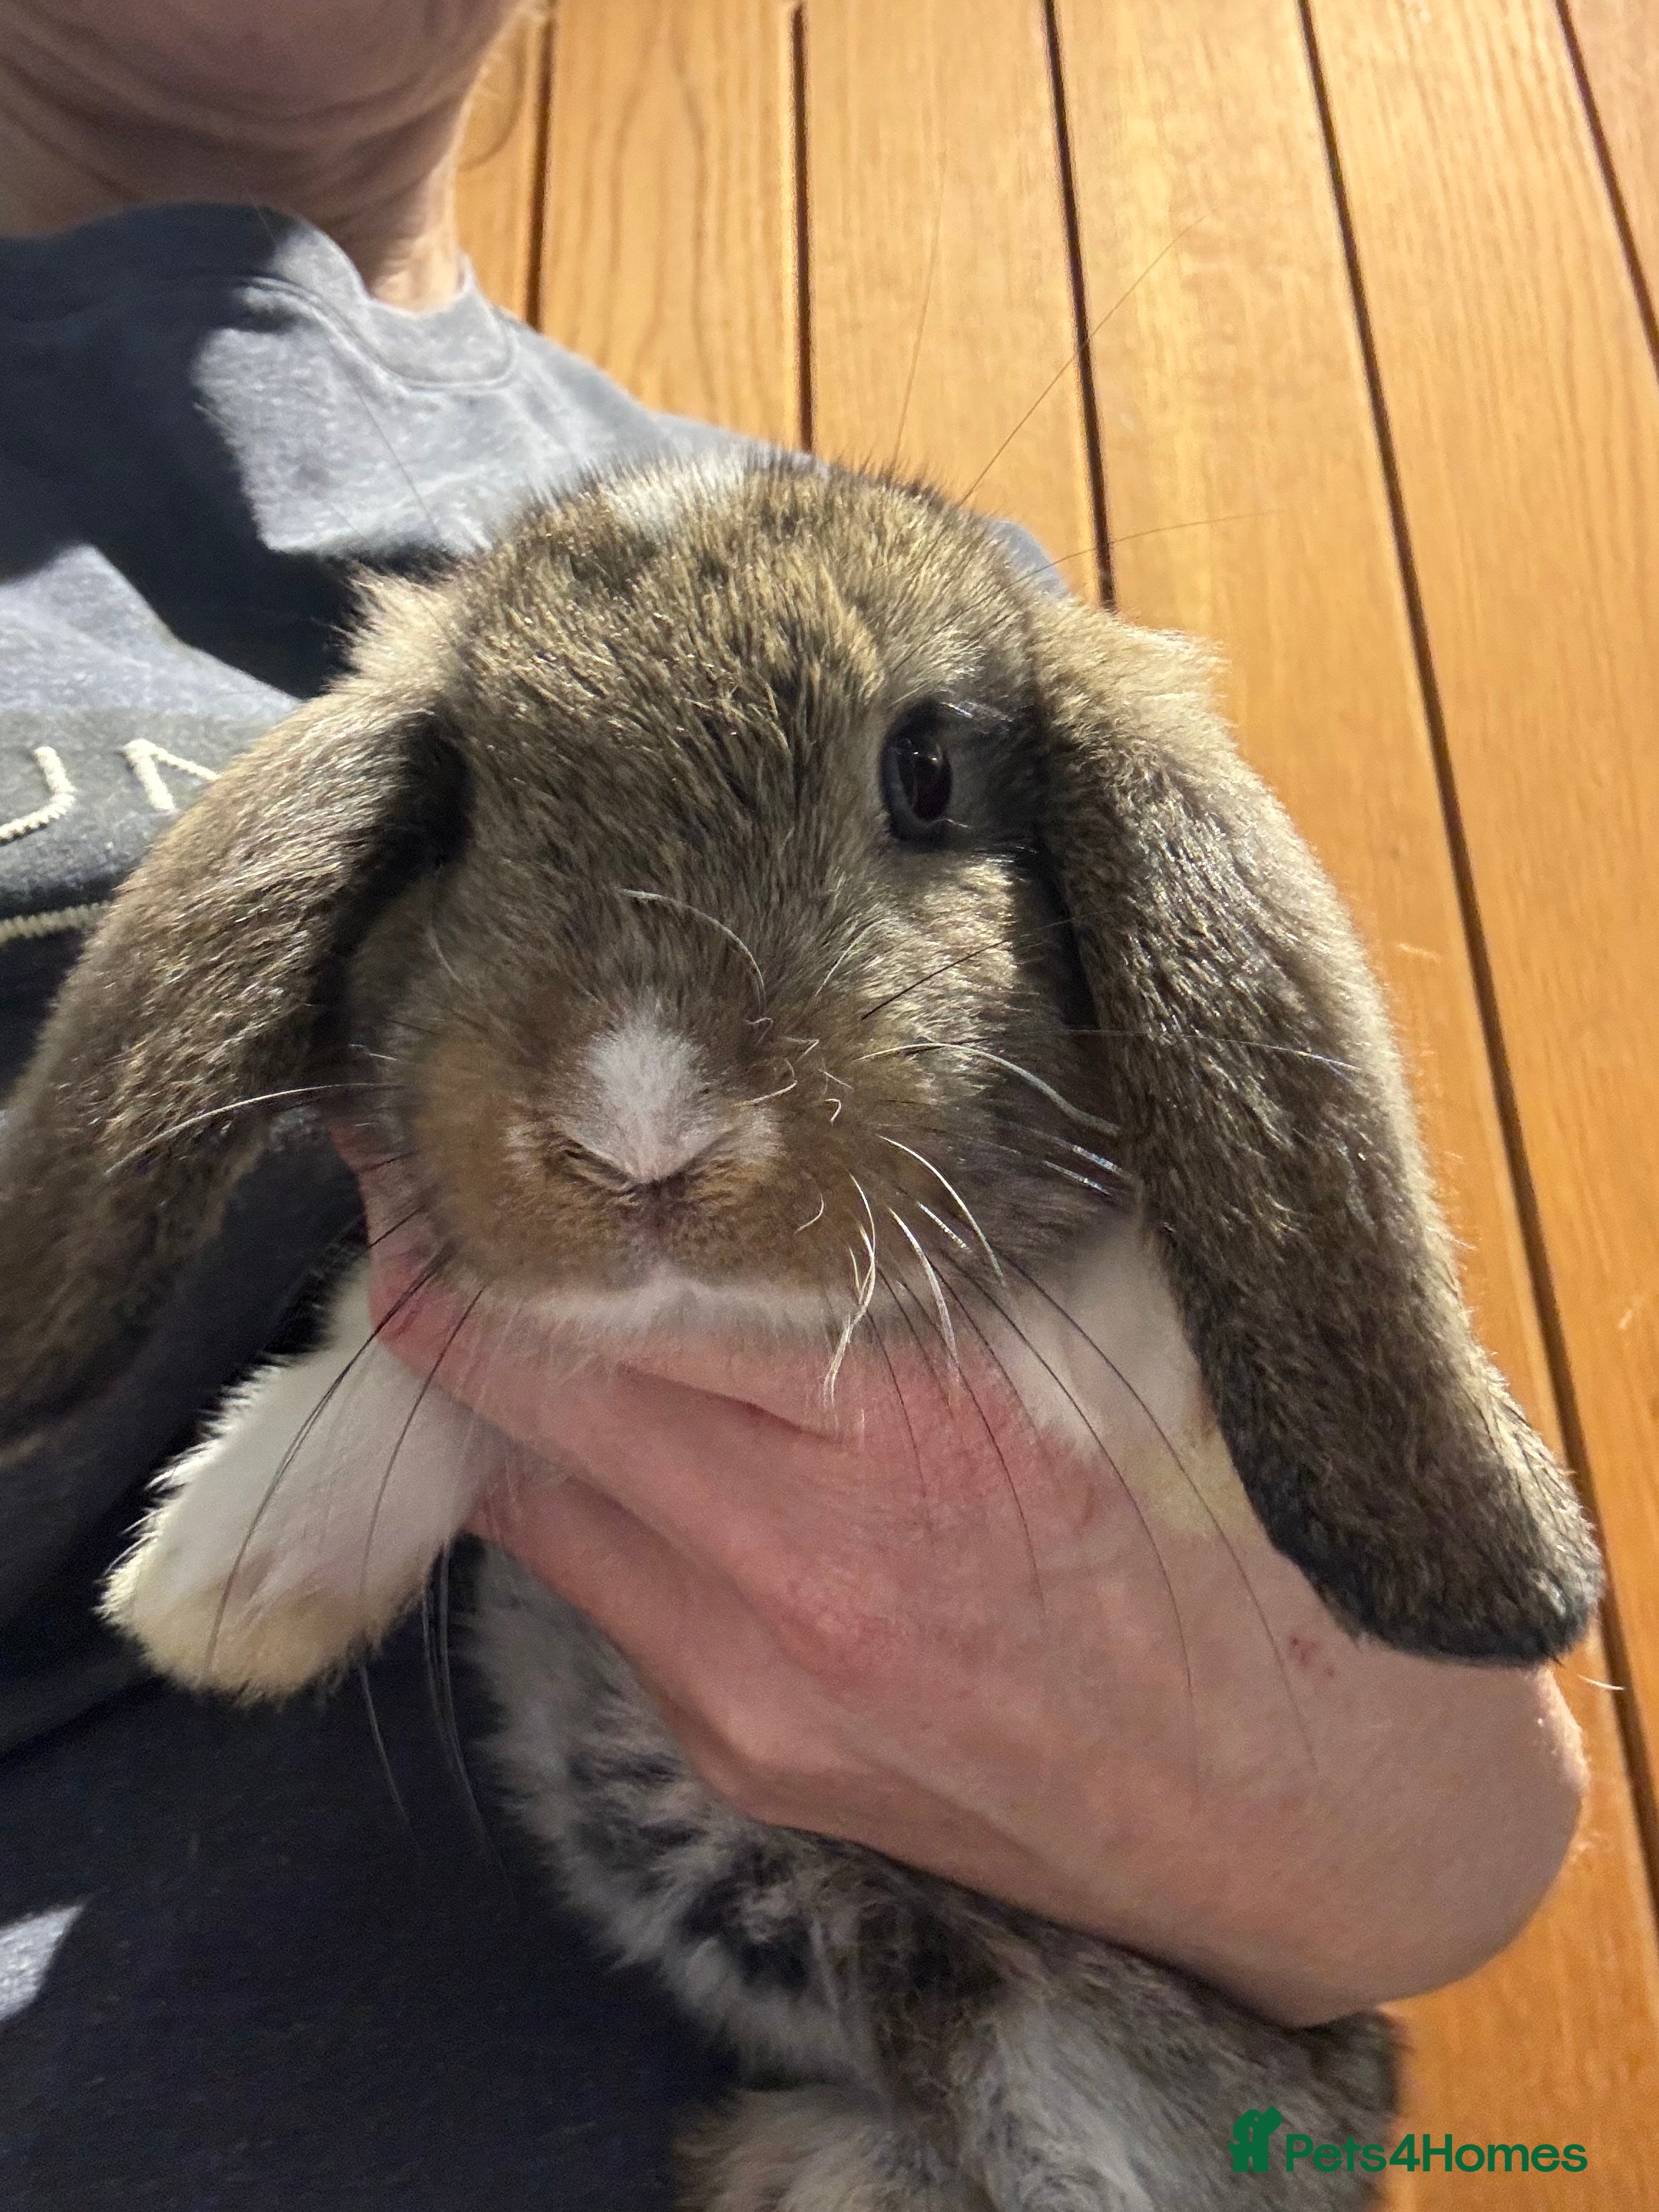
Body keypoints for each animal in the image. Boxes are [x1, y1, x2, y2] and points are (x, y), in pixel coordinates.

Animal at [0, 450, 1602, 2209]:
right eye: (462, 806)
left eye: (926, 773)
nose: (643, 1130)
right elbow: (431, 1345)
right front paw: (223, 1573)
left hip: (1050, 2049)